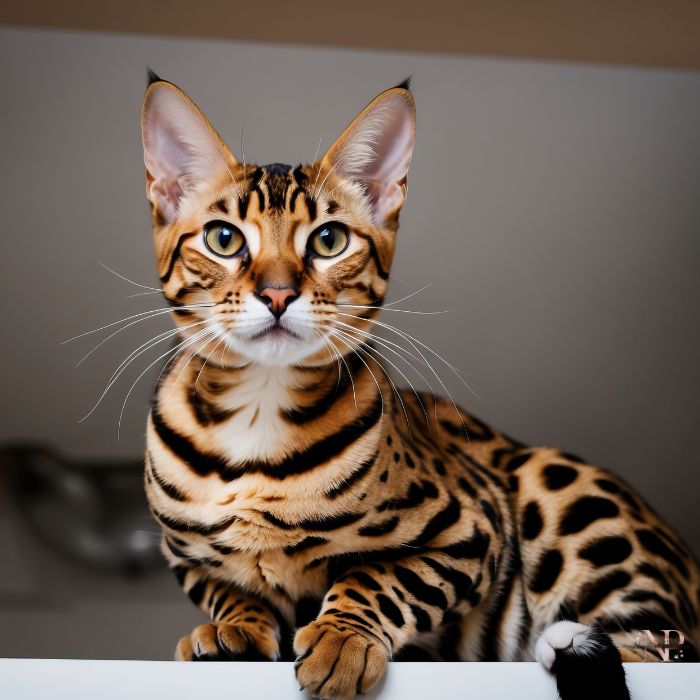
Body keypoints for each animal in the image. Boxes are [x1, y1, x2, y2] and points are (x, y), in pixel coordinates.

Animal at [139, 71, 699, 699]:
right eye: (223, 238)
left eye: (329, 240)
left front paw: (342, 636)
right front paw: (233, 629)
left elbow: (379, 576)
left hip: (556, 484)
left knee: (656, 647)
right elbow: (228, 588)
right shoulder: (182, 557)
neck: (257, 418)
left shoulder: (473, 531)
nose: (278, 293)